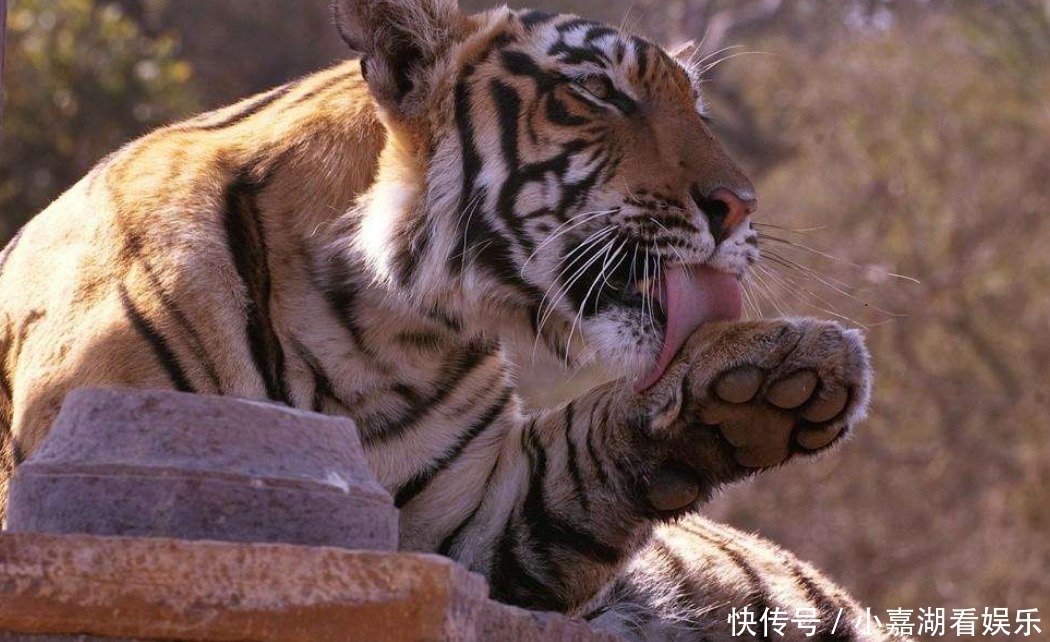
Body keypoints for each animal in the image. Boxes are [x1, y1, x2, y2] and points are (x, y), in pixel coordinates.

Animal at [0, 0, 908, 639]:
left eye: (702, 111)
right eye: (596, 92)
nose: (740, 207)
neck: (374, 330)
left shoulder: (474, 528)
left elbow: (591, 438)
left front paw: (774, 377)